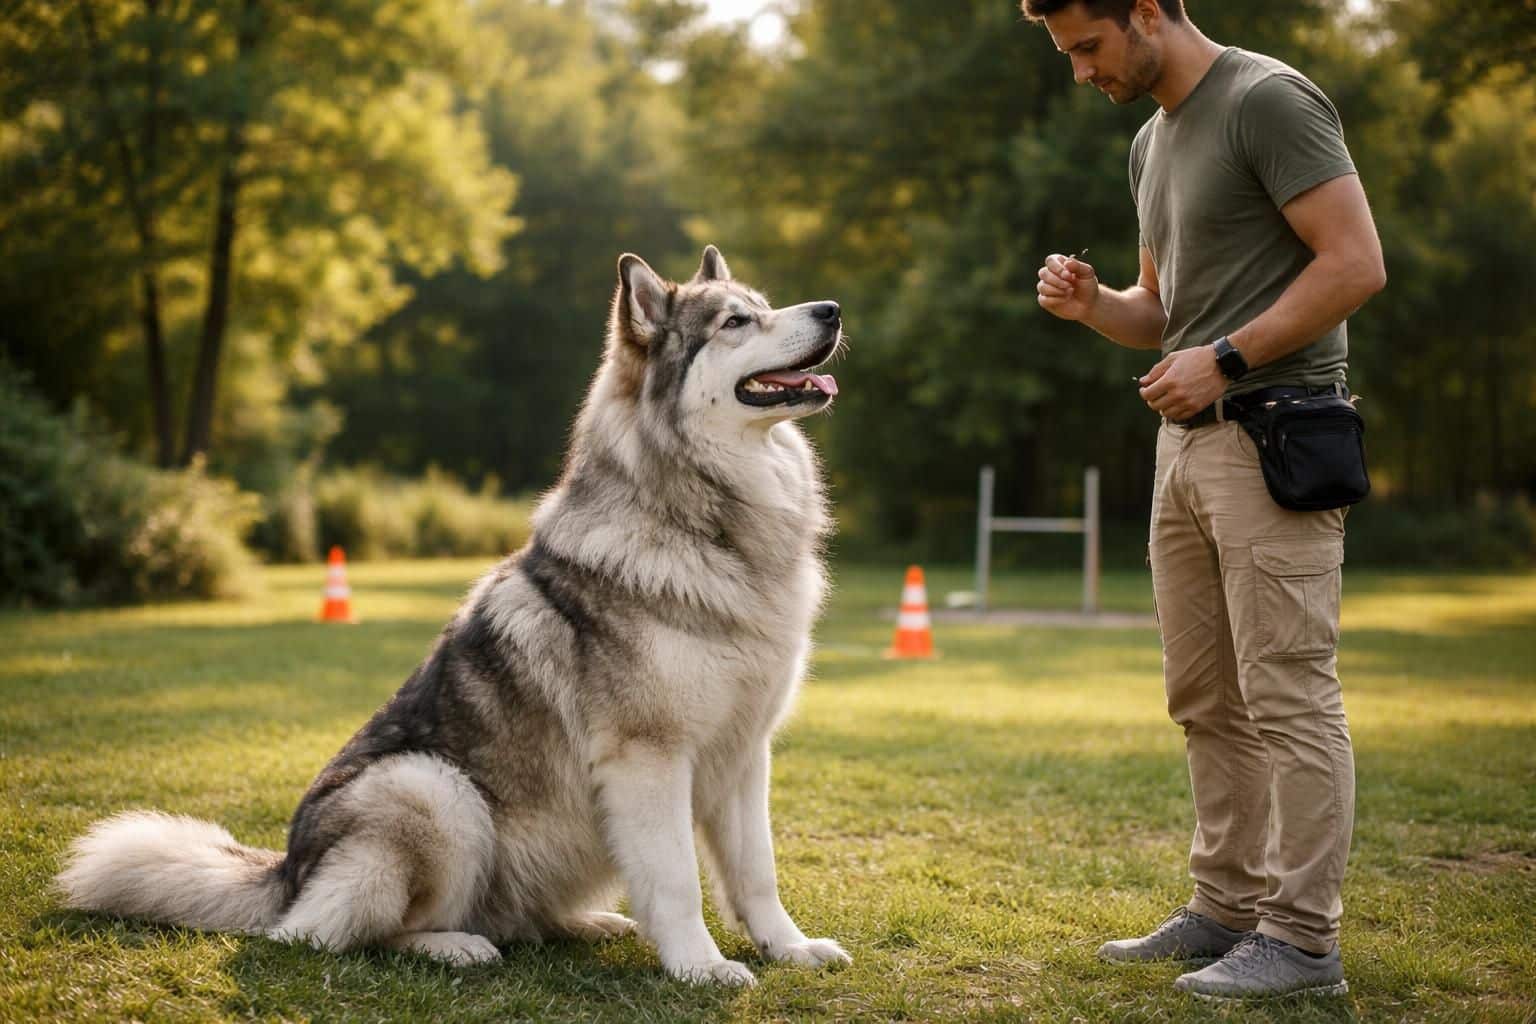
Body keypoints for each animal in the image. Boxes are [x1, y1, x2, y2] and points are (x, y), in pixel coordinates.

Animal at [56, 246, 849, 986]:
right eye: (736, 322)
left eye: (765, 305)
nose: (833, 309)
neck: (709, 524)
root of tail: (284, 873)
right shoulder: (648, 760)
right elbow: (680, 881)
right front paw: (699, 967)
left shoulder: (745, 755)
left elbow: (757, 874)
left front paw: (789, 948)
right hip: (432, 791)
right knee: (334, 935)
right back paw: (454, 944)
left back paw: (587, 922)